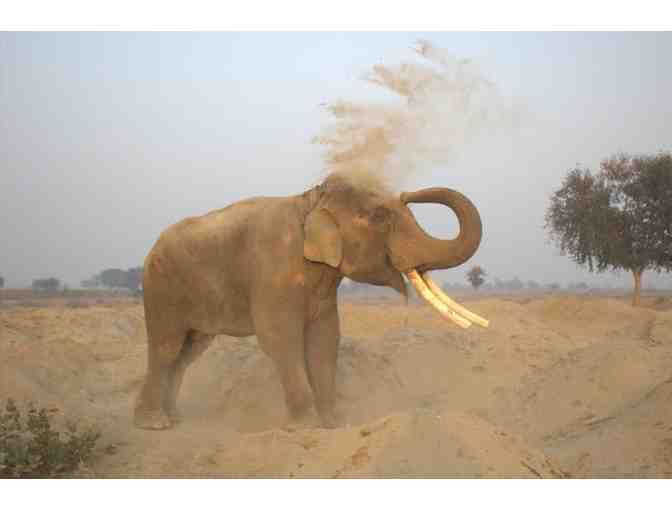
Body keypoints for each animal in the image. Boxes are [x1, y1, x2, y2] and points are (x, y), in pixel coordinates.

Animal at [134, 173, 486, 430]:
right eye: (380, 215)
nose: (409, 193)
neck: (310, 201)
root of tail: (150, 250)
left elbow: (325, 339)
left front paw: (333, 423)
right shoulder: (273, 270)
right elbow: (280, 338)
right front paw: (304, 426)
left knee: (188, 353)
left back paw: (174, 418)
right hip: (161, 288)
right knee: (167, 347)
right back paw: (154, 424)